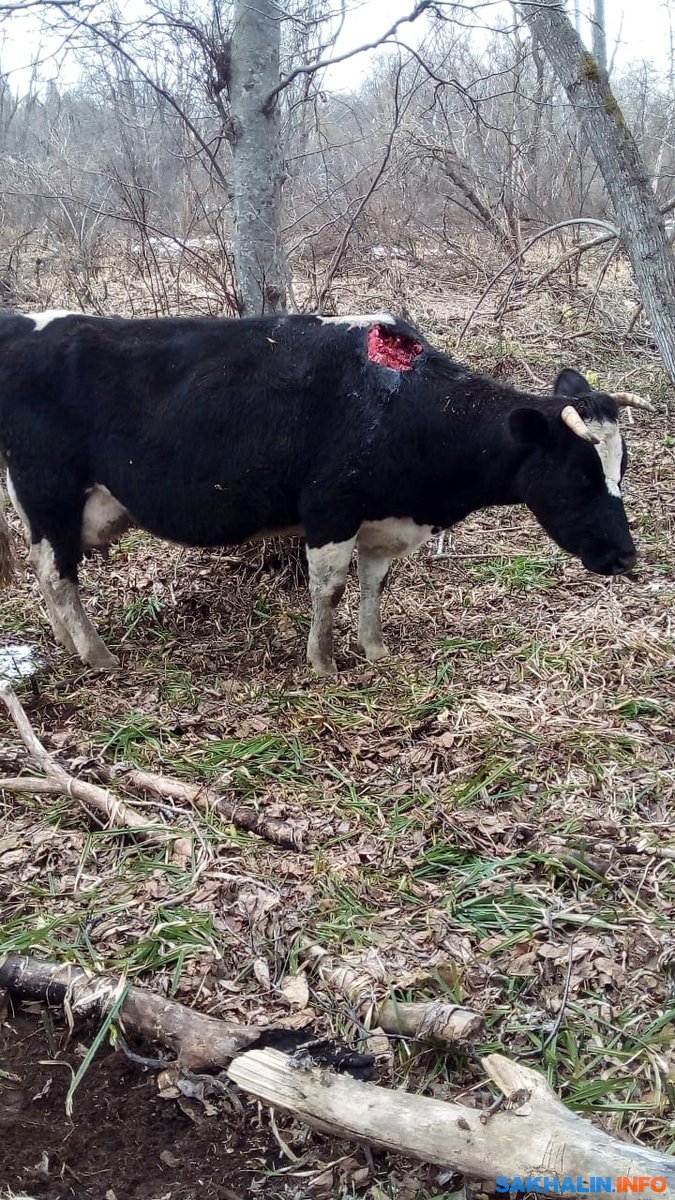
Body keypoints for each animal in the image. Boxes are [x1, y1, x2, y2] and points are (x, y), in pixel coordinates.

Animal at [0, 309, 648, 676]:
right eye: (582, 476)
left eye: (623, 468)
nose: (626, 557)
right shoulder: (330, 510)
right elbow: (329, 590)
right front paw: (323, 664)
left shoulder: (382, 520)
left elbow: (372, 585)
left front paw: (374, 649)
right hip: (49, 487)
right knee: (57, 572)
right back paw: (97, 656)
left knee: (46, 573)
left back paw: (67, 642)